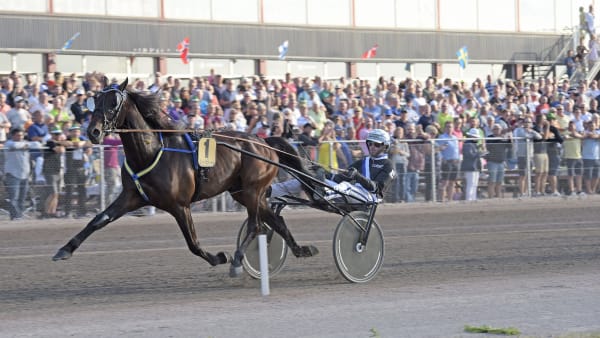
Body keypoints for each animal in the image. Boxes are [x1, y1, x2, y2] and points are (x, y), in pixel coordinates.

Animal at [51, 79, 318, 274]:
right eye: (95, 99)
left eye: (114, 101)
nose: (93, 132)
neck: (151, 152)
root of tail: (264, 142)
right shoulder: (132, 196)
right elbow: (99, 219)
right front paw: (65, 249)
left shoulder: (180, 205)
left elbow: (192, 243)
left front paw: (219, 257)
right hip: (243, 192)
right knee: (275, 221)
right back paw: (301, 249)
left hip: (253, 190)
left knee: (256, 224)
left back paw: (237, 261)